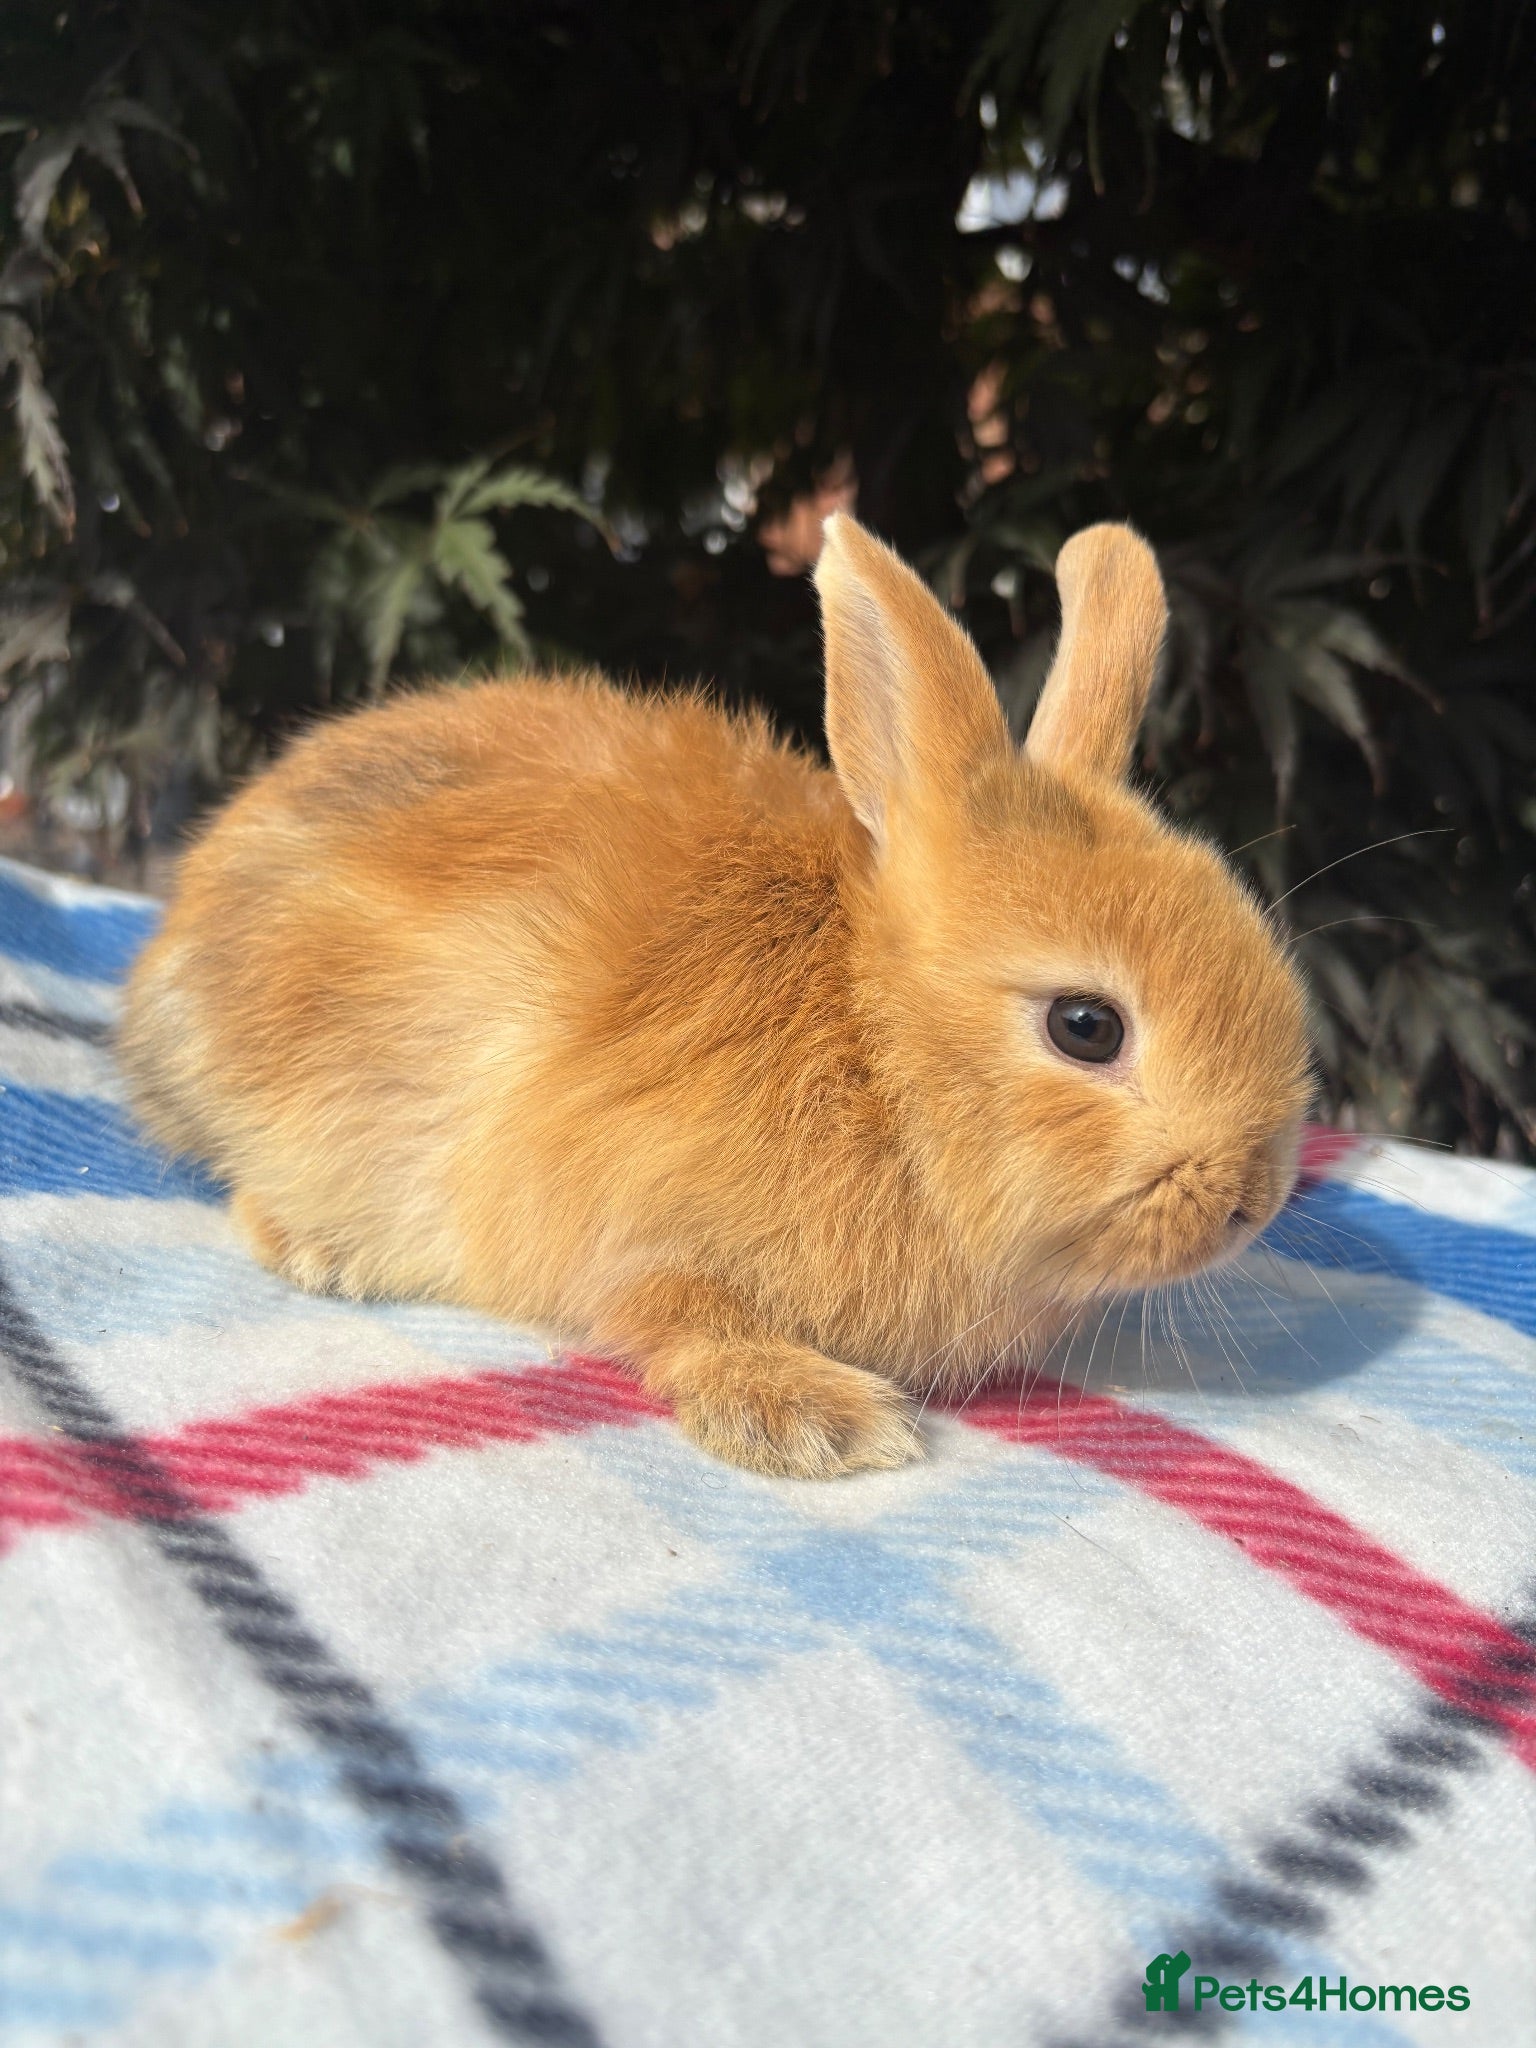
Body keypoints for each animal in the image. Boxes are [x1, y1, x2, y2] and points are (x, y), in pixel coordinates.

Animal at [120, 515, 1312, 1478]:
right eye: (1086, 1027)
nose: (1253, 1201)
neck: (874, 1047)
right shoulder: (630, 1212)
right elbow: (679, 1314)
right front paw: (822, 1422)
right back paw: (322, 1249)